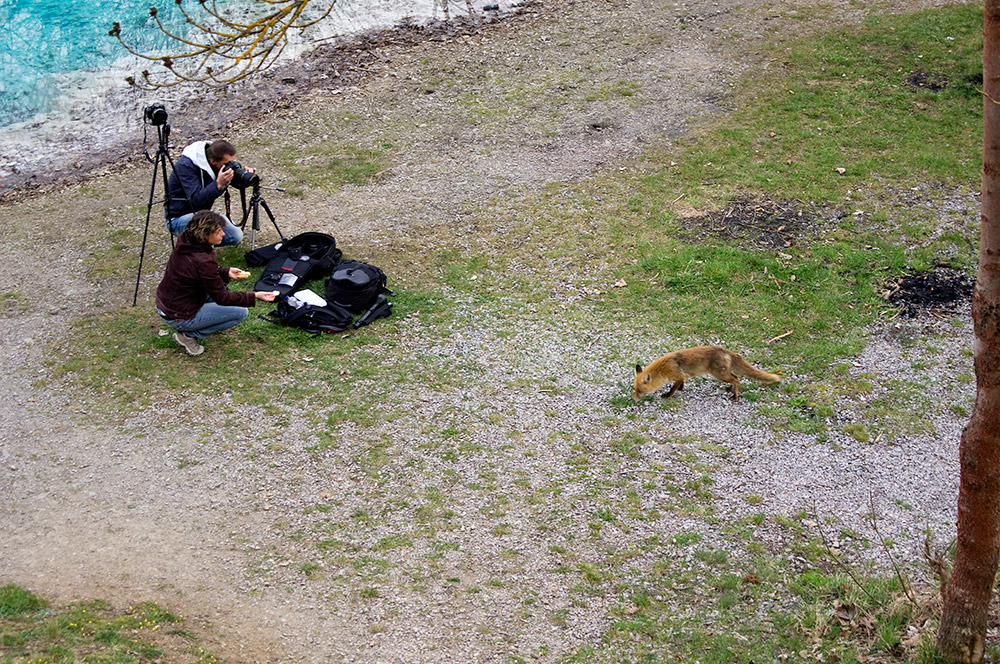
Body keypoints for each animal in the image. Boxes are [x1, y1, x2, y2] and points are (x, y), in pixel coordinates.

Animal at [632, 344, 780, 402]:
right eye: (635, 390)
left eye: (640, 391)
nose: (633, 399)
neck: (663, 369)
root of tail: (727, 351)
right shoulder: (682, 377)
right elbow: (680, 384)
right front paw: (681, 389)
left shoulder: (678, 376)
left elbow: (673, 388)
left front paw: (668, 395)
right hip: (724, 375)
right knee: (736, 377)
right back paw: (730, 389)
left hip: (720, 375)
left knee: (737, 380)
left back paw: (735, 395)